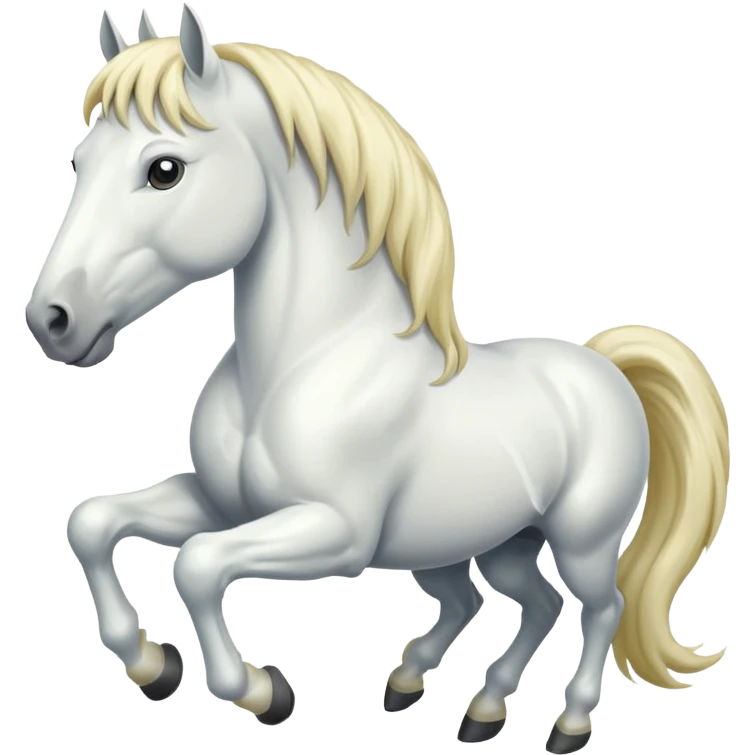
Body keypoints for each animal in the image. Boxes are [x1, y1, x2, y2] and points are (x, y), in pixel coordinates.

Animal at [29, 5, 730, 751]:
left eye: (164, 169)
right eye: (79, 162)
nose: (52, 319)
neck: (301, 366)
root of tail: (600, 364)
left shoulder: (333, 532)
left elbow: (196, 563)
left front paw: (260, 690)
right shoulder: (222, 505)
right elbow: (93, 521)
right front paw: (151, 664)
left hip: (580, 541)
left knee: (599, 606)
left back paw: (566, 723)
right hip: (484, 544)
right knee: (512, 601)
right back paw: (456, 700)